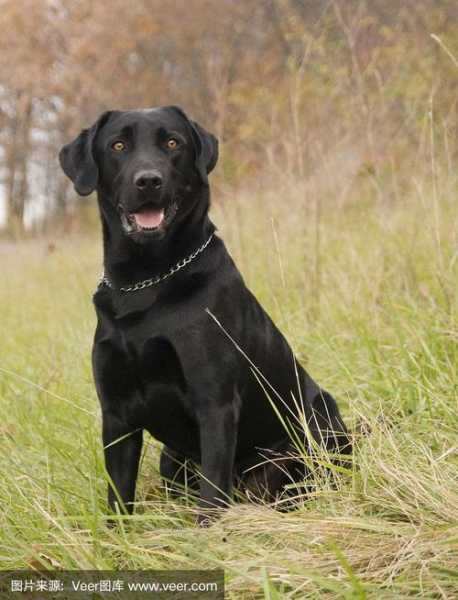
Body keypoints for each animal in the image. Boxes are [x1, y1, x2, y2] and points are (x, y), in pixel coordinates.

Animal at [58, 106, 350, 524]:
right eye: (118, 145)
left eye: (172, 142)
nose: (149, 180)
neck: (145, 283)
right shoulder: (116, 415)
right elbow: (119, 498)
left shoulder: (215, 402)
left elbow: (212, 495)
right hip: (170, 460)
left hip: (318, 419)